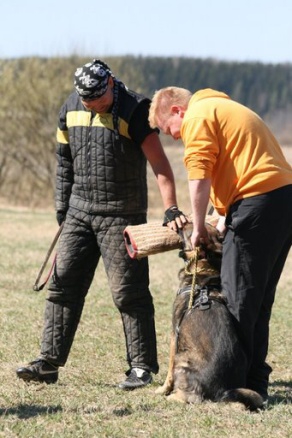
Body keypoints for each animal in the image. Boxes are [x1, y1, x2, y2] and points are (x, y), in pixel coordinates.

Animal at [157, 222, 264, 410]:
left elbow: (168, 370)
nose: (180, 221)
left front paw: (163, 390)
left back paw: (172, 397)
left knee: (192, 397)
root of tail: (221, 390)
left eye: (190, 229)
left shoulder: (174, 333)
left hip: (182, 359)